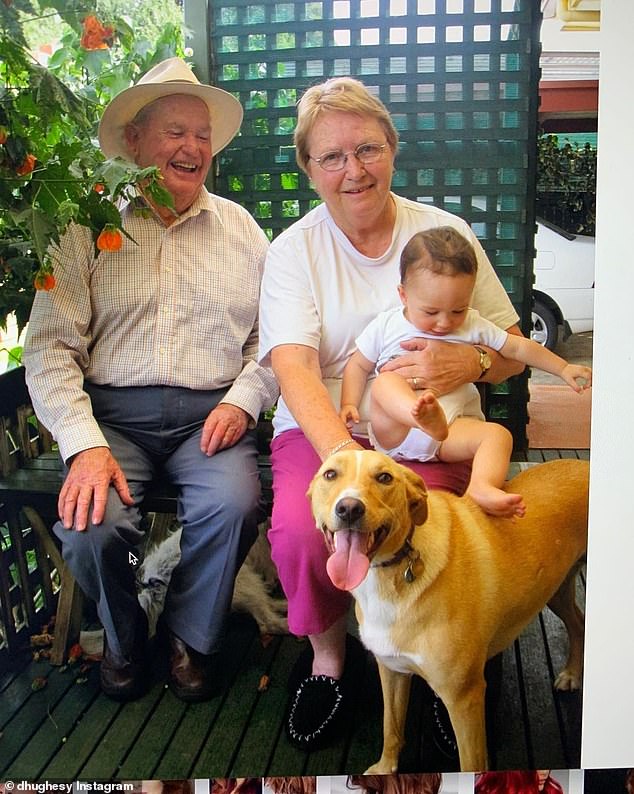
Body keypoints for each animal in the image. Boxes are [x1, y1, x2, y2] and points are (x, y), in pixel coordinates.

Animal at [308, 448, 588, 772]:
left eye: (385, 477)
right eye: (330, 474)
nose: (350, 509)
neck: (393, 573)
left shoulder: (464, 698)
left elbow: (471, 763)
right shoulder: (392, 670)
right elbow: (391, 727)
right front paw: (385, 769)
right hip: (556, 590)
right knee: (579, 624)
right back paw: (572, 673)